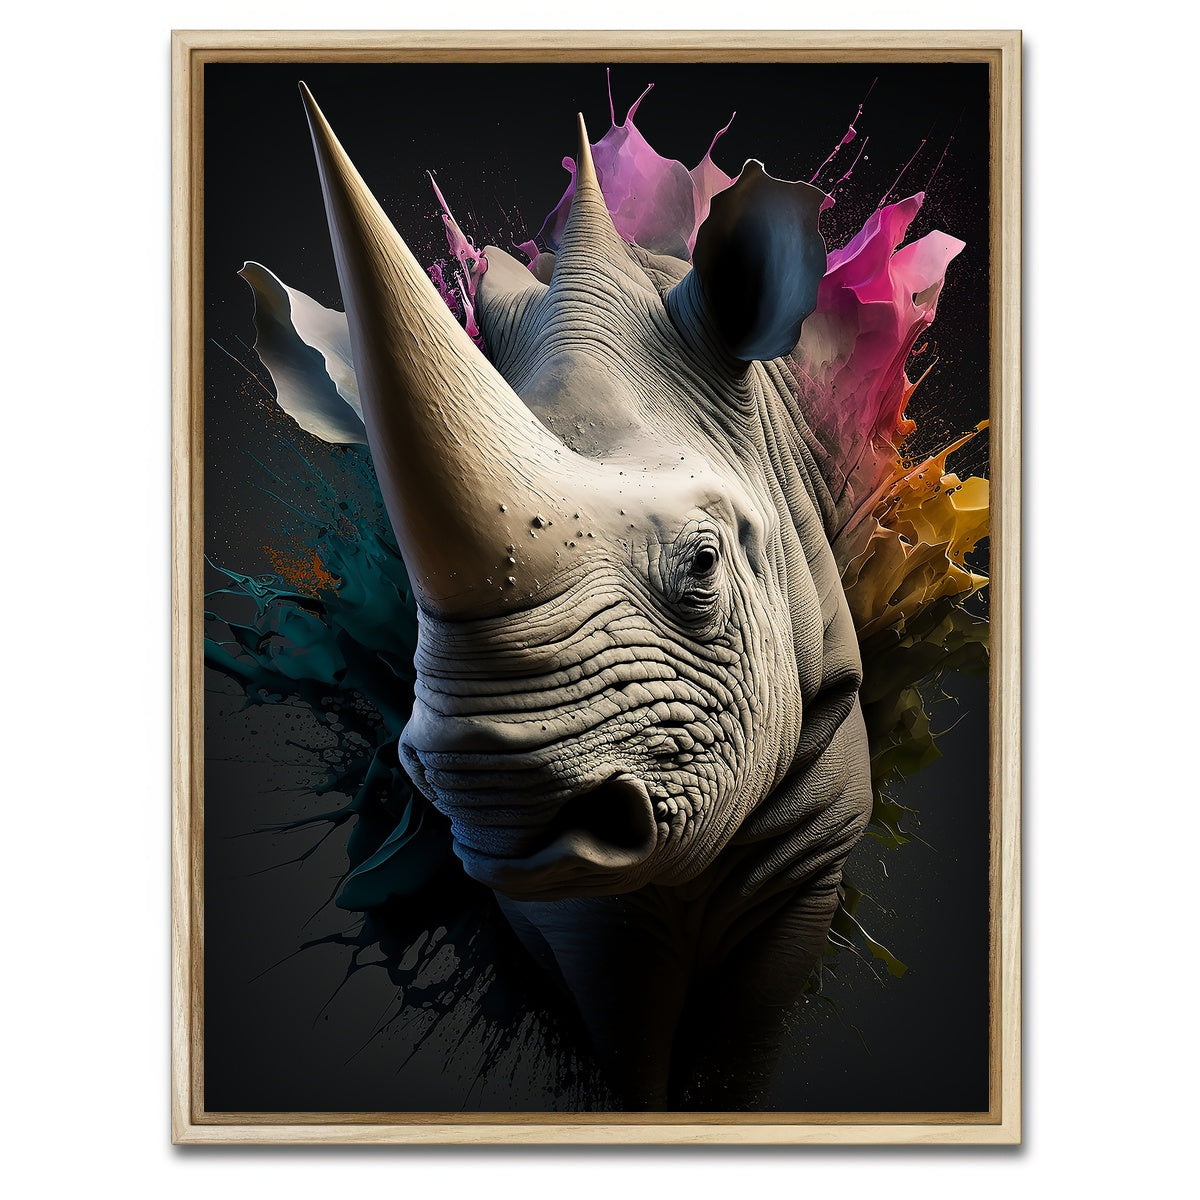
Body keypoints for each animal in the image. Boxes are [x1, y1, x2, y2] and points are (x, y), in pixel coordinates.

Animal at [297, 84, 875, 1110]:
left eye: (704, 565)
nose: (498, 791)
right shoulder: (569, 908)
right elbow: (623, 1021)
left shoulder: (814, 840)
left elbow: (744, 1040)